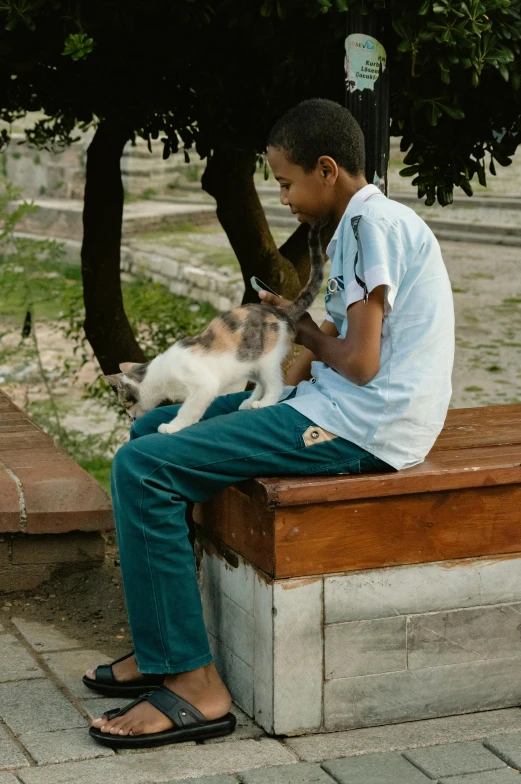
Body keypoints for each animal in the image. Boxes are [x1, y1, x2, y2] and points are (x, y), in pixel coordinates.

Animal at [103, 217, 324, 432]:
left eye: (124, 403)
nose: (130, 417)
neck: (160, 374)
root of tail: (281, 311)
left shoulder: (204, 386)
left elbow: (188, 408)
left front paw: (173, 426)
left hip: (267, 359)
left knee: (275, 385)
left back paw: (263, 403)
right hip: (250, 362)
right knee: (261, 384)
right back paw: (249, 401)